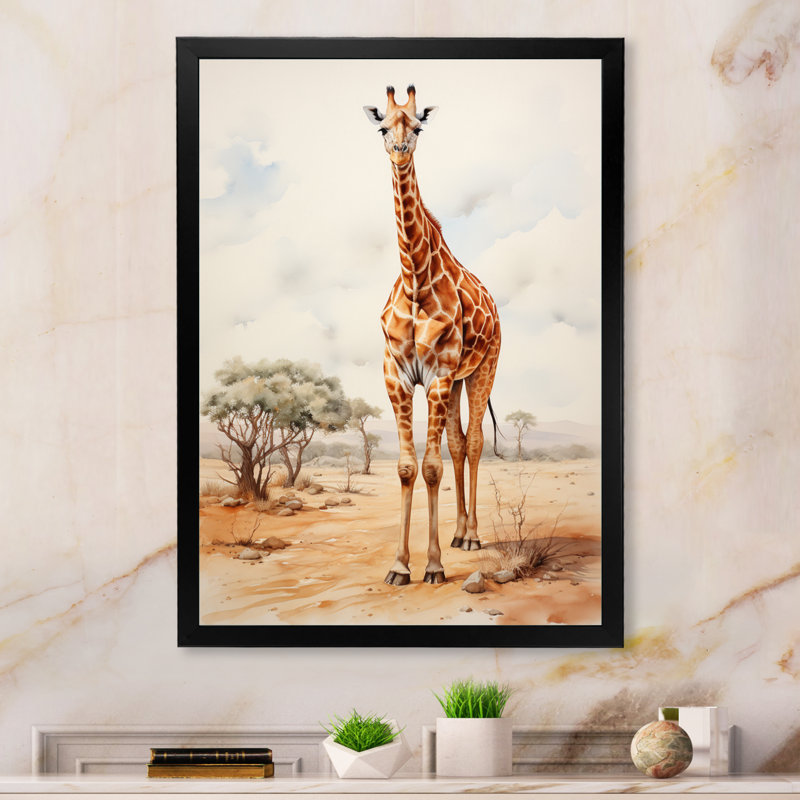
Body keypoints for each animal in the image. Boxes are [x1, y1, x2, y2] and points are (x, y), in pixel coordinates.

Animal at [363, 85, 502, 586]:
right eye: (384, 127)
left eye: (418, 127)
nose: (400, 150)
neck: (415, 279)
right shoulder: (398, 376)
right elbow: (408, 468)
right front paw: (400, 566)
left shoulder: (438, 374)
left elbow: (431, 467)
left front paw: (435, 566)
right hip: (459, 378)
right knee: (460, 443)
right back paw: (460, 534)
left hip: (483, 368)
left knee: (475, 442)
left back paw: (473, 537)